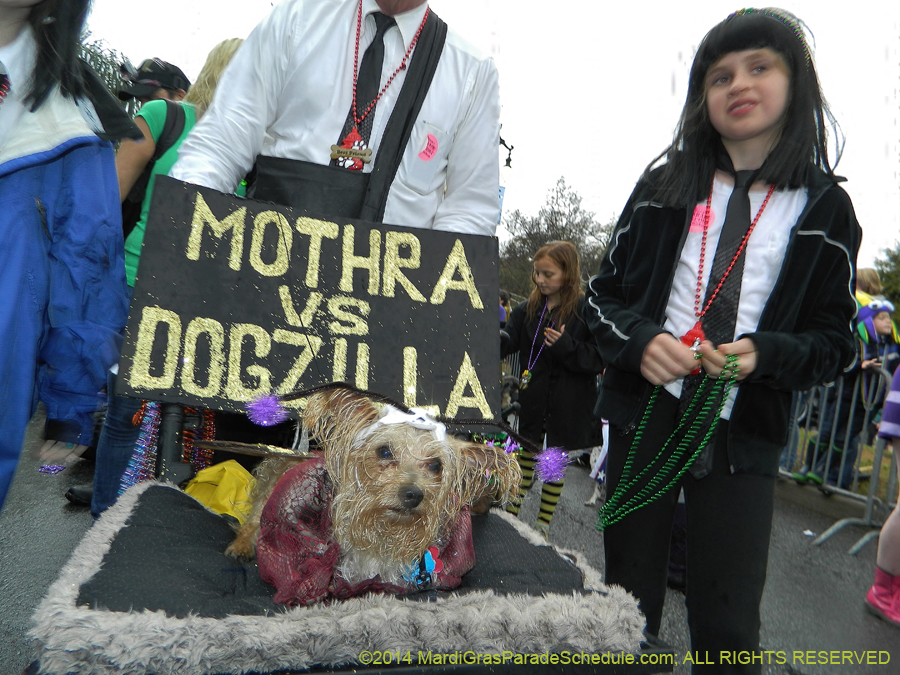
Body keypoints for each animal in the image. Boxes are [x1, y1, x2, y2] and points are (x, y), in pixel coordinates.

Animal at [227, 386, 520, 608]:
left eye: (436, 465)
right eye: (384, 452)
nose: (413, 494)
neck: (384, 533)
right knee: (253, 521)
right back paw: (242, 546)